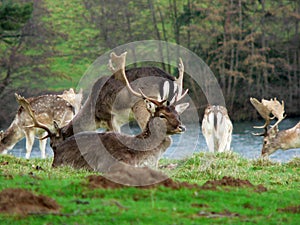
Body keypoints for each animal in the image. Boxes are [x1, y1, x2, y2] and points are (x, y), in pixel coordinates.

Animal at [15, 51, 189, 170]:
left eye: (53, 145)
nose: (56, 156)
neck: (93, 114)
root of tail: (169, 80)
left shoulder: (109, 117)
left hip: (141, 105)